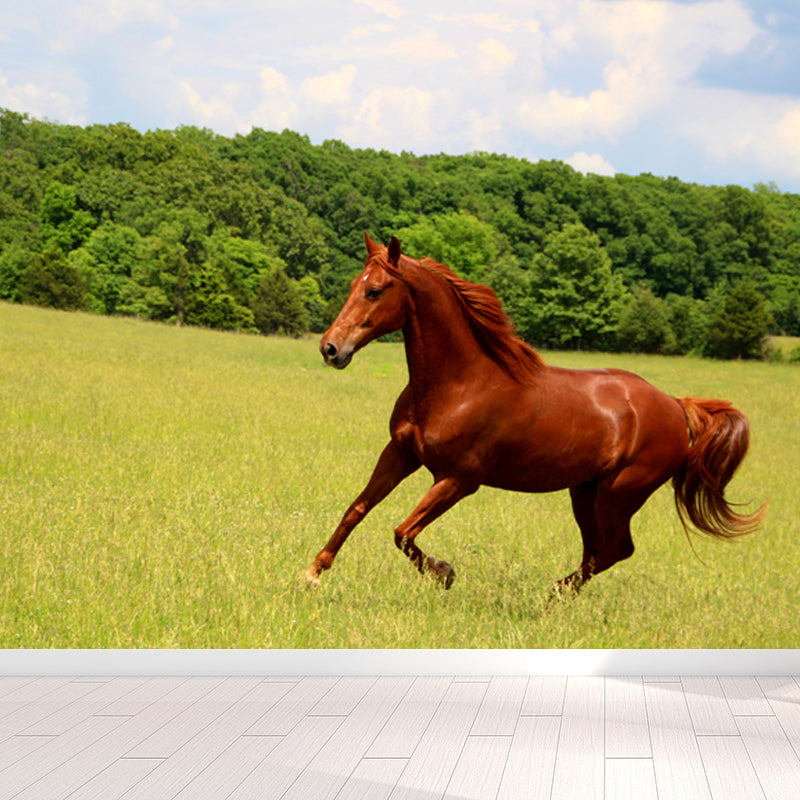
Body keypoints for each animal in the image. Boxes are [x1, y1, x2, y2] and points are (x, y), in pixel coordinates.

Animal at [305, 233, 765, 593]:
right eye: (354, 284)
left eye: (376, 290)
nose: (330, 348)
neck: (459, 384)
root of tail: (675, 404)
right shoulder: (400, 454)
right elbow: (356, 510)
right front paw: (313, 572)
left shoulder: (458, 480)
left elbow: (403, 532)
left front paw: (445, 572)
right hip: (585, 492)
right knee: (598, 550)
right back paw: (556, 595)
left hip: (619, 495)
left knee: (616, 550)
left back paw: (551, 594)